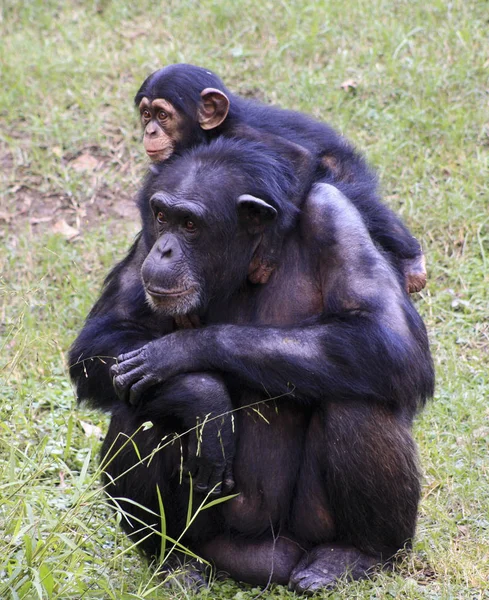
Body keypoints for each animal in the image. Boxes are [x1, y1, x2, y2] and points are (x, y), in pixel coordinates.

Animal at [69, 135, 434, 592]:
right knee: (140, 411)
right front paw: (203, 397)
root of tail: (262, 559)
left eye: (190, 224)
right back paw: (174, 560)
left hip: (309, 529)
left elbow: (389, 335)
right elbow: (100, 340)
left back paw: (352, 555)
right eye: (163, 217)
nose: (165, 249)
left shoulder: (334, 213)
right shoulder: (144, 237)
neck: (251, 260)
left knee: (360, 403)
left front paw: (178, 351)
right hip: (213, 539)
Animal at [135, 63, 426, 292]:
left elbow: (299, 157)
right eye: (146, 115)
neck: (209, 132)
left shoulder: (242, 133)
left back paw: (411, 259)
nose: (150, 131)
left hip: (345, 168)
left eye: (163, 115)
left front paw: (268, 251)